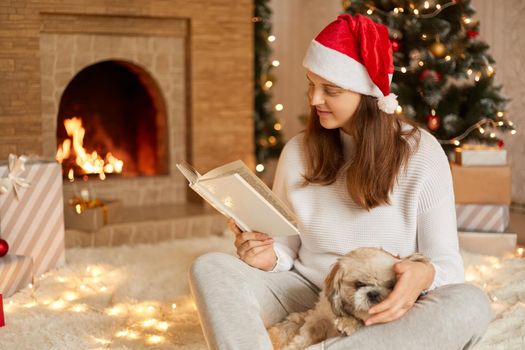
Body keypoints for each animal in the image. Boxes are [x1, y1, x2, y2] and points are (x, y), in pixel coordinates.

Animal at [268, 247, 428, 348]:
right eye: (359, 284)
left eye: (391, 285)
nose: (374, 293)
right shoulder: (317, 319)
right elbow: (305, 336)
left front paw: (348, 323)